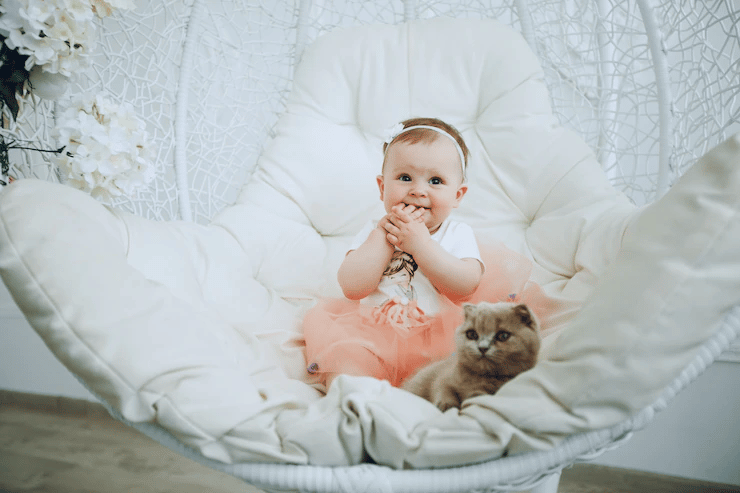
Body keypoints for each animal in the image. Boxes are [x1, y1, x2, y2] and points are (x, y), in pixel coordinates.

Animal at [402, 300, 540, 412]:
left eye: (503, 336)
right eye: (472, 334)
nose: (482, 347)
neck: (481, 378)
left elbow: (477, 396)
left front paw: (474, 396)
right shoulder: (442, 377)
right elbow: (443, 388)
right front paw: (446, 405)